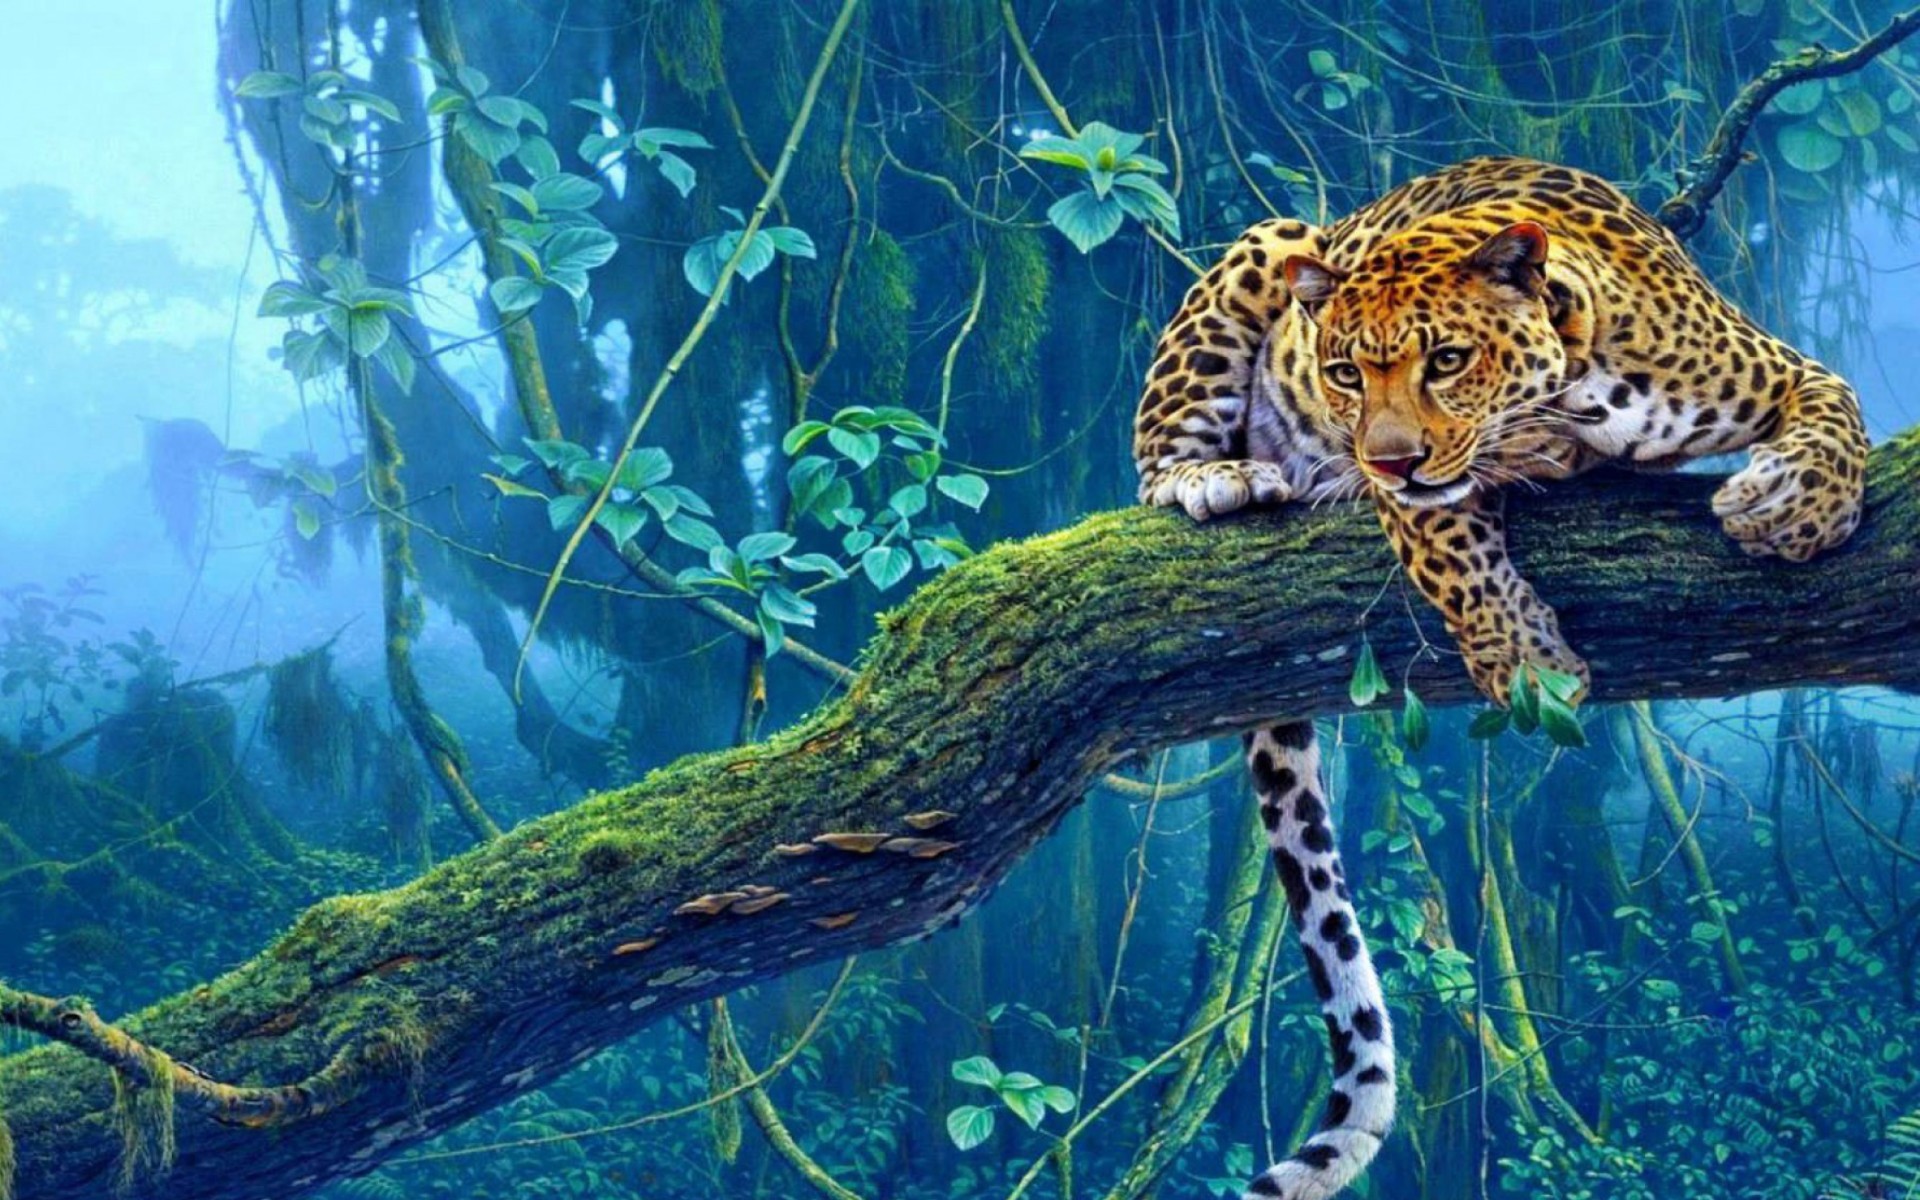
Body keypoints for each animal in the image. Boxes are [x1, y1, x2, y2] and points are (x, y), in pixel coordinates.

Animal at [1133, 156, 1869, 1200]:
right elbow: (1453, 550)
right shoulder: (1417, 498)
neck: (1580, 390)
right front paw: (1527, 663)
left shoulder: (1772, 366)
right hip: (1270, 244)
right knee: (1154, 457)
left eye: (1445, 359)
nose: (1387, 458)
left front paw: (1796, 510)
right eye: (1344, 371)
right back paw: (1212, 479)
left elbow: (1837, 404)